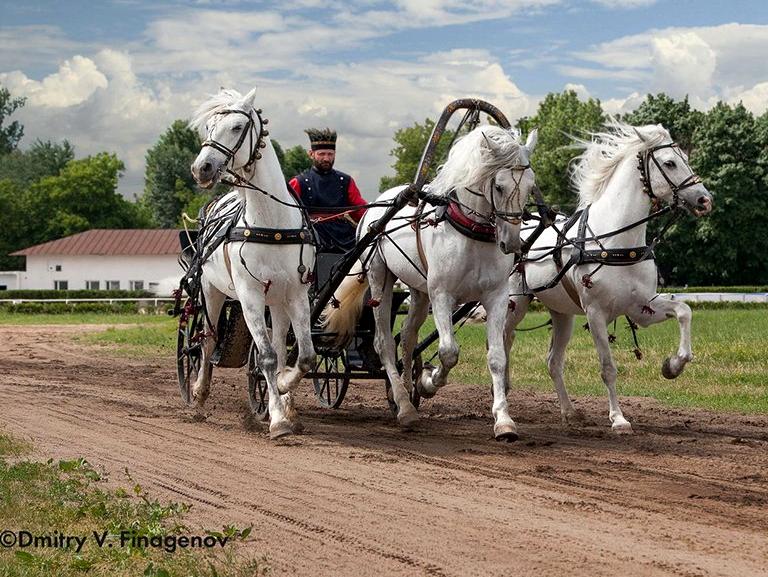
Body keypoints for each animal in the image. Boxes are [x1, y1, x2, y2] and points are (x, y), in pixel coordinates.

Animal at [188, 88, 316, 436]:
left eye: (236, 127)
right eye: (208, 128)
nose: (202, 168)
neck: (272, 224)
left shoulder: (296, 293)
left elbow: (303, 357)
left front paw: (283, 392)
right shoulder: (249, 296)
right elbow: (267, 357)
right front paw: (277, 418)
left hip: (278, 301)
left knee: (282, 344)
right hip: (211, 291)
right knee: (206, 342)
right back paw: (198, 397)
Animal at [324, 126, 540, 438]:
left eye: (530, 186)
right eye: (499, 186)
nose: (511, 244)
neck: (471, 234)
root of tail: (374, 210)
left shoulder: (496, 297)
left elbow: (497, 357)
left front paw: (503, 419)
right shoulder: (442, 295)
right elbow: (448, 352)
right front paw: (428, 382)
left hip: (418, 291)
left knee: (407, 336)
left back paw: (402, 392)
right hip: (381, 278)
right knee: (384, 342)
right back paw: (404, 407)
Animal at [504, 122, 712, 432]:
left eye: (685, 158)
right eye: (670, 163)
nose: (704, 199)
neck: (616, 242)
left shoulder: (641, 307)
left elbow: (684, 311)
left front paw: (673, 365)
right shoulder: (595, 313)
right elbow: (608, 368)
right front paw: (619, 418)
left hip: (562, 314)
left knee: (553, 361)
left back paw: (569, 411)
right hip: (513, 305)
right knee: (501, 343)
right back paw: (501, 394)